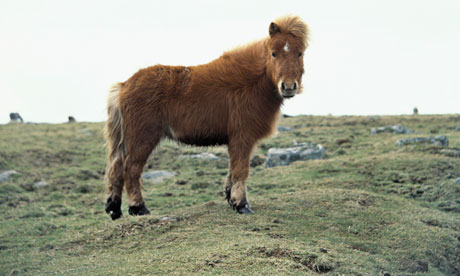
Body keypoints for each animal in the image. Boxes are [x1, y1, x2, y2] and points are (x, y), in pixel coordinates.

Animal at [104, 16, 310, 220]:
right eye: (274, 54)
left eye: (300, 53)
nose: (288, 86)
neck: (251, 83)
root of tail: (124, 85)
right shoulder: (242, 137)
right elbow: (241, 170)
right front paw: (242, 205)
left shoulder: (236, 141)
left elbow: (232, 171)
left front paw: (231, 199)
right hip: (142, 138)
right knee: (131, 168)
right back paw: (138, 208)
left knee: (116, 167)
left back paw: (114, 209)